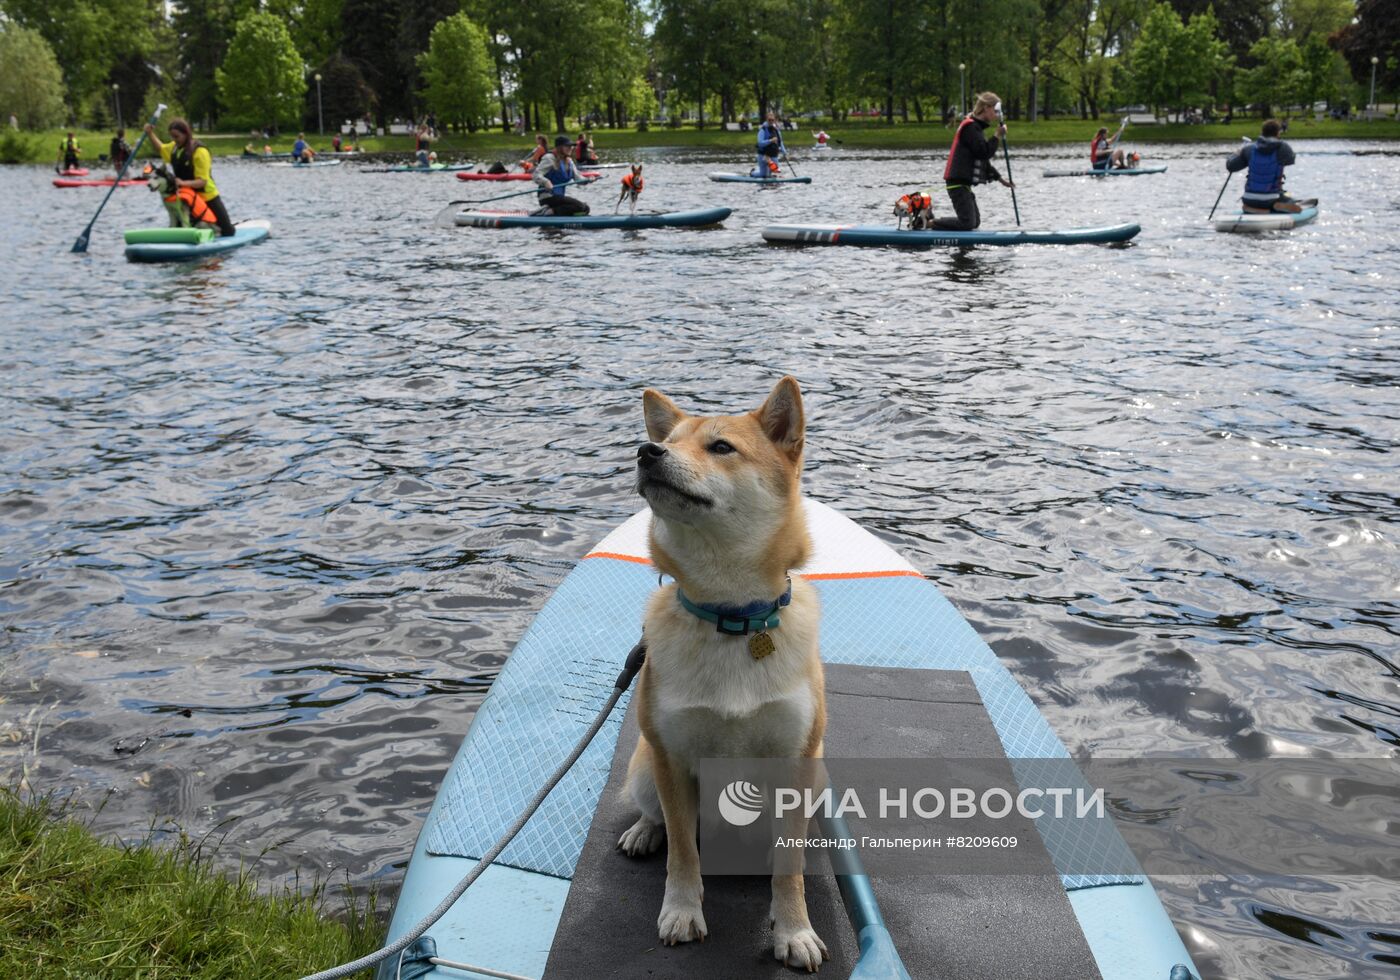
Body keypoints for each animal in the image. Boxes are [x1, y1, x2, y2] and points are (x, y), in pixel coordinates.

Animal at [616, 375, 828, 974]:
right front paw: (682, 911)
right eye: (670, 441)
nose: (646, 451)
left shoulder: (796, 761)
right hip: (645, 767)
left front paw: (793, 929)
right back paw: (644, 832)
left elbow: (788, 870)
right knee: (659, 819)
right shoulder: (671, 757)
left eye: (720, 447)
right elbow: (684, 854)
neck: (732, 617)